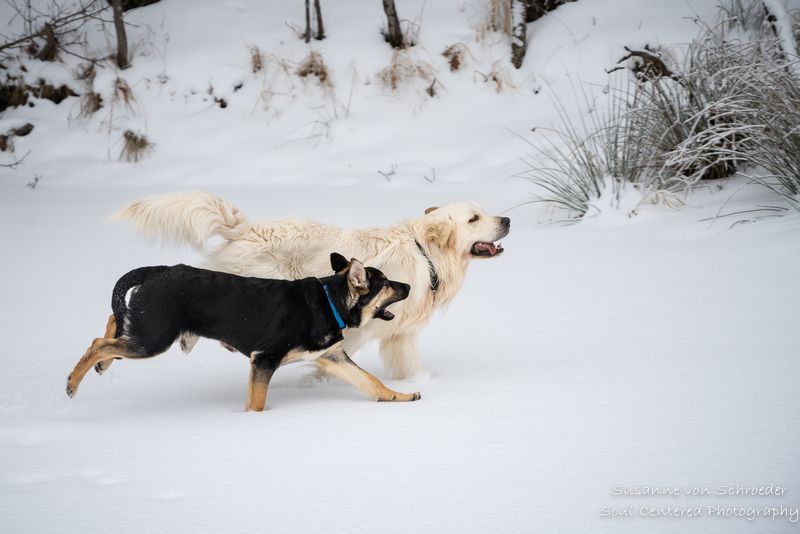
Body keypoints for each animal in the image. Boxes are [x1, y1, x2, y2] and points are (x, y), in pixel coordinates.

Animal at [66, 253, 418, 412]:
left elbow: (371, 382)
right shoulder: (264, 359)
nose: (410, 287)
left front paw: (399, 396)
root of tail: (158, 271)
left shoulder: (332, 358)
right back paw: (73, 382)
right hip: (154, 338)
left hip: (146, 330)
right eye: (387, 284)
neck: (329, 301)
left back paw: (100, 365)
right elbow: (257, 402)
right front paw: (250, 422)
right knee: (99, 343)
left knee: (113, 323)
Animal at [115, 195, 510, 378]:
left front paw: (417, 384)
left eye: (482, 212)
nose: (506, 218)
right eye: (474, 218)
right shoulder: (353, 327)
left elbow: (408, 365)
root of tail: (245, 228)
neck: (425, 254)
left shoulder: (402, 335)